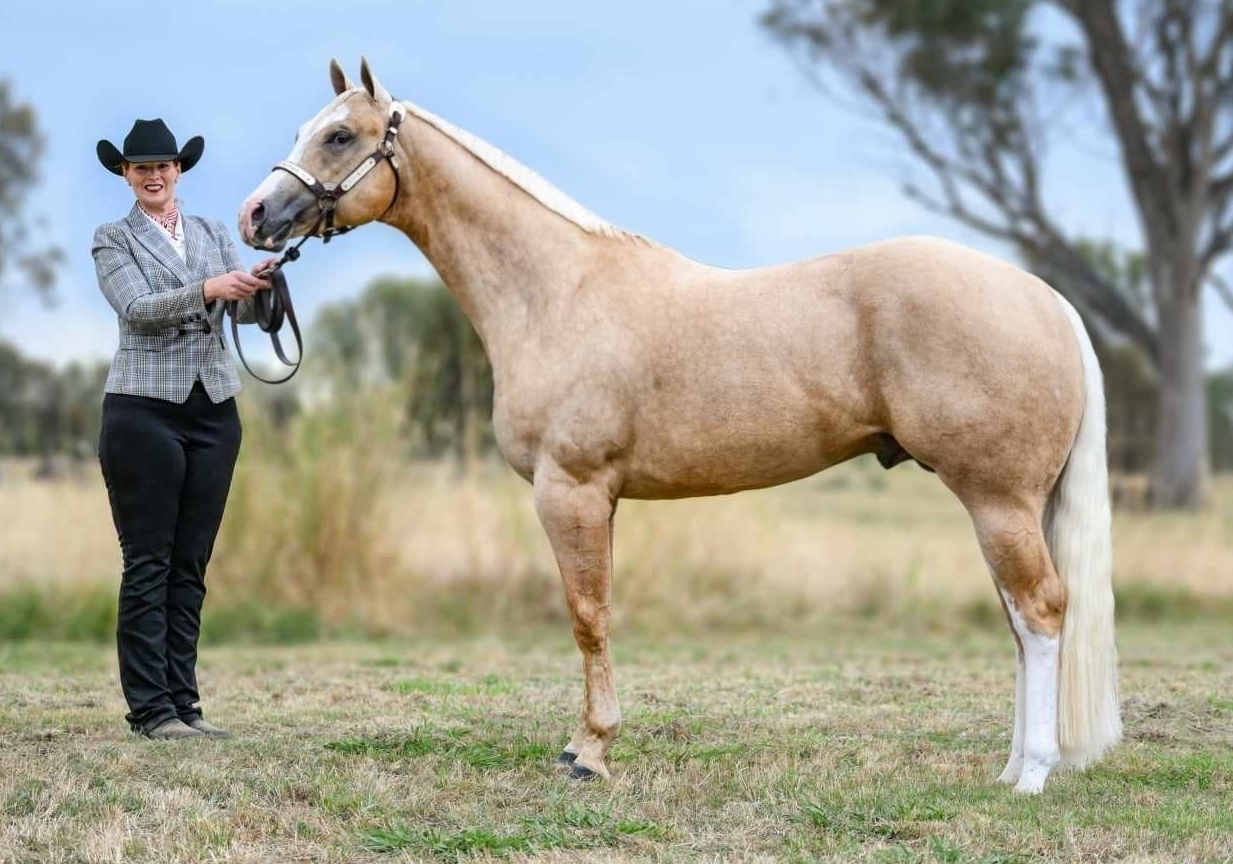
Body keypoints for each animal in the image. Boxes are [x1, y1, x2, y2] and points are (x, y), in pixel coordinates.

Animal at [238, 58, 1121, 794]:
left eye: (339, 135)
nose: (255, 216)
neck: (555, 292)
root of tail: (1042, 298)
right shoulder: (601, 499)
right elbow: (595, 614)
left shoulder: (571, 490)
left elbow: (586, 617)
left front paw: (589, 753)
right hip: (1004, 503)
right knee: (1020, 623)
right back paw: (1010, 766)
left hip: (996, 498)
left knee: (1041, 611)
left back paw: (1031, 775)